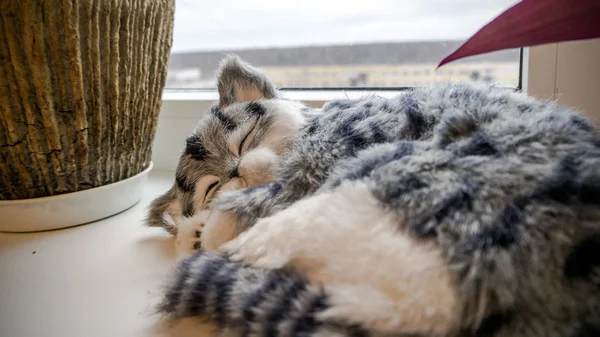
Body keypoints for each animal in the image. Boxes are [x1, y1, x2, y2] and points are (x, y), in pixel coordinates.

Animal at [146, 55, 600, 336]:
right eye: (213, 184)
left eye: (243, 140)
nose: (239, 171)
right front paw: (194, 228)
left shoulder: (335, 146)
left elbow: (276, 191)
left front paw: (209, 226)